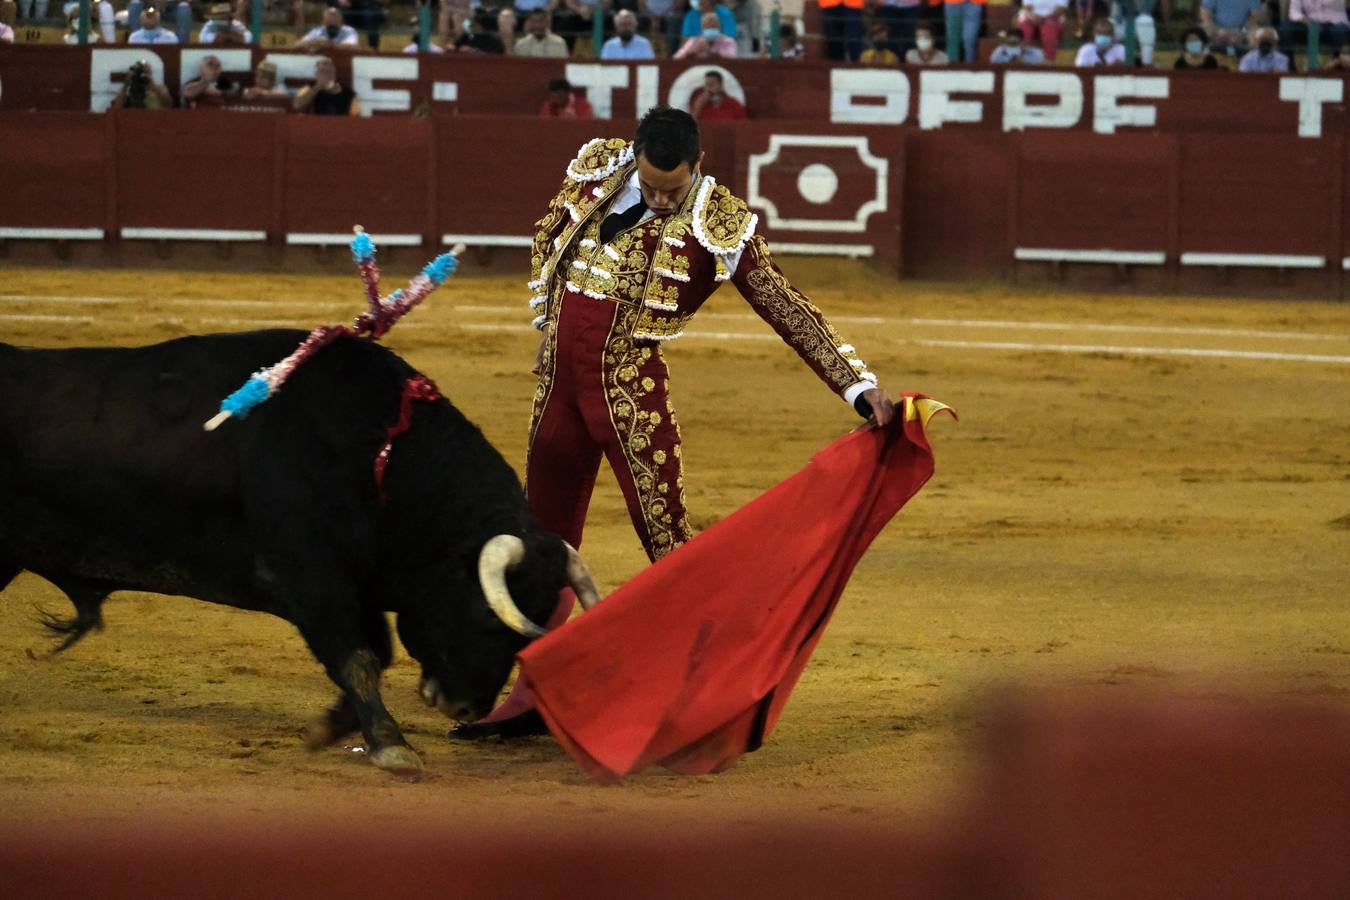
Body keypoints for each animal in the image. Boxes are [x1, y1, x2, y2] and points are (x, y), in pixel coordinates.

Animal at [0, 329, 575, 777]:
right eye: (486, 617)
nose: (467, 708)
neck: (379, 452)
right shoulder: (313, 577)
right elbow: (358, 657)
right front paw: (391, 746)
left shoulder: (356, 585)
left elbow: (374, 652)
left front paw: (332, 727)